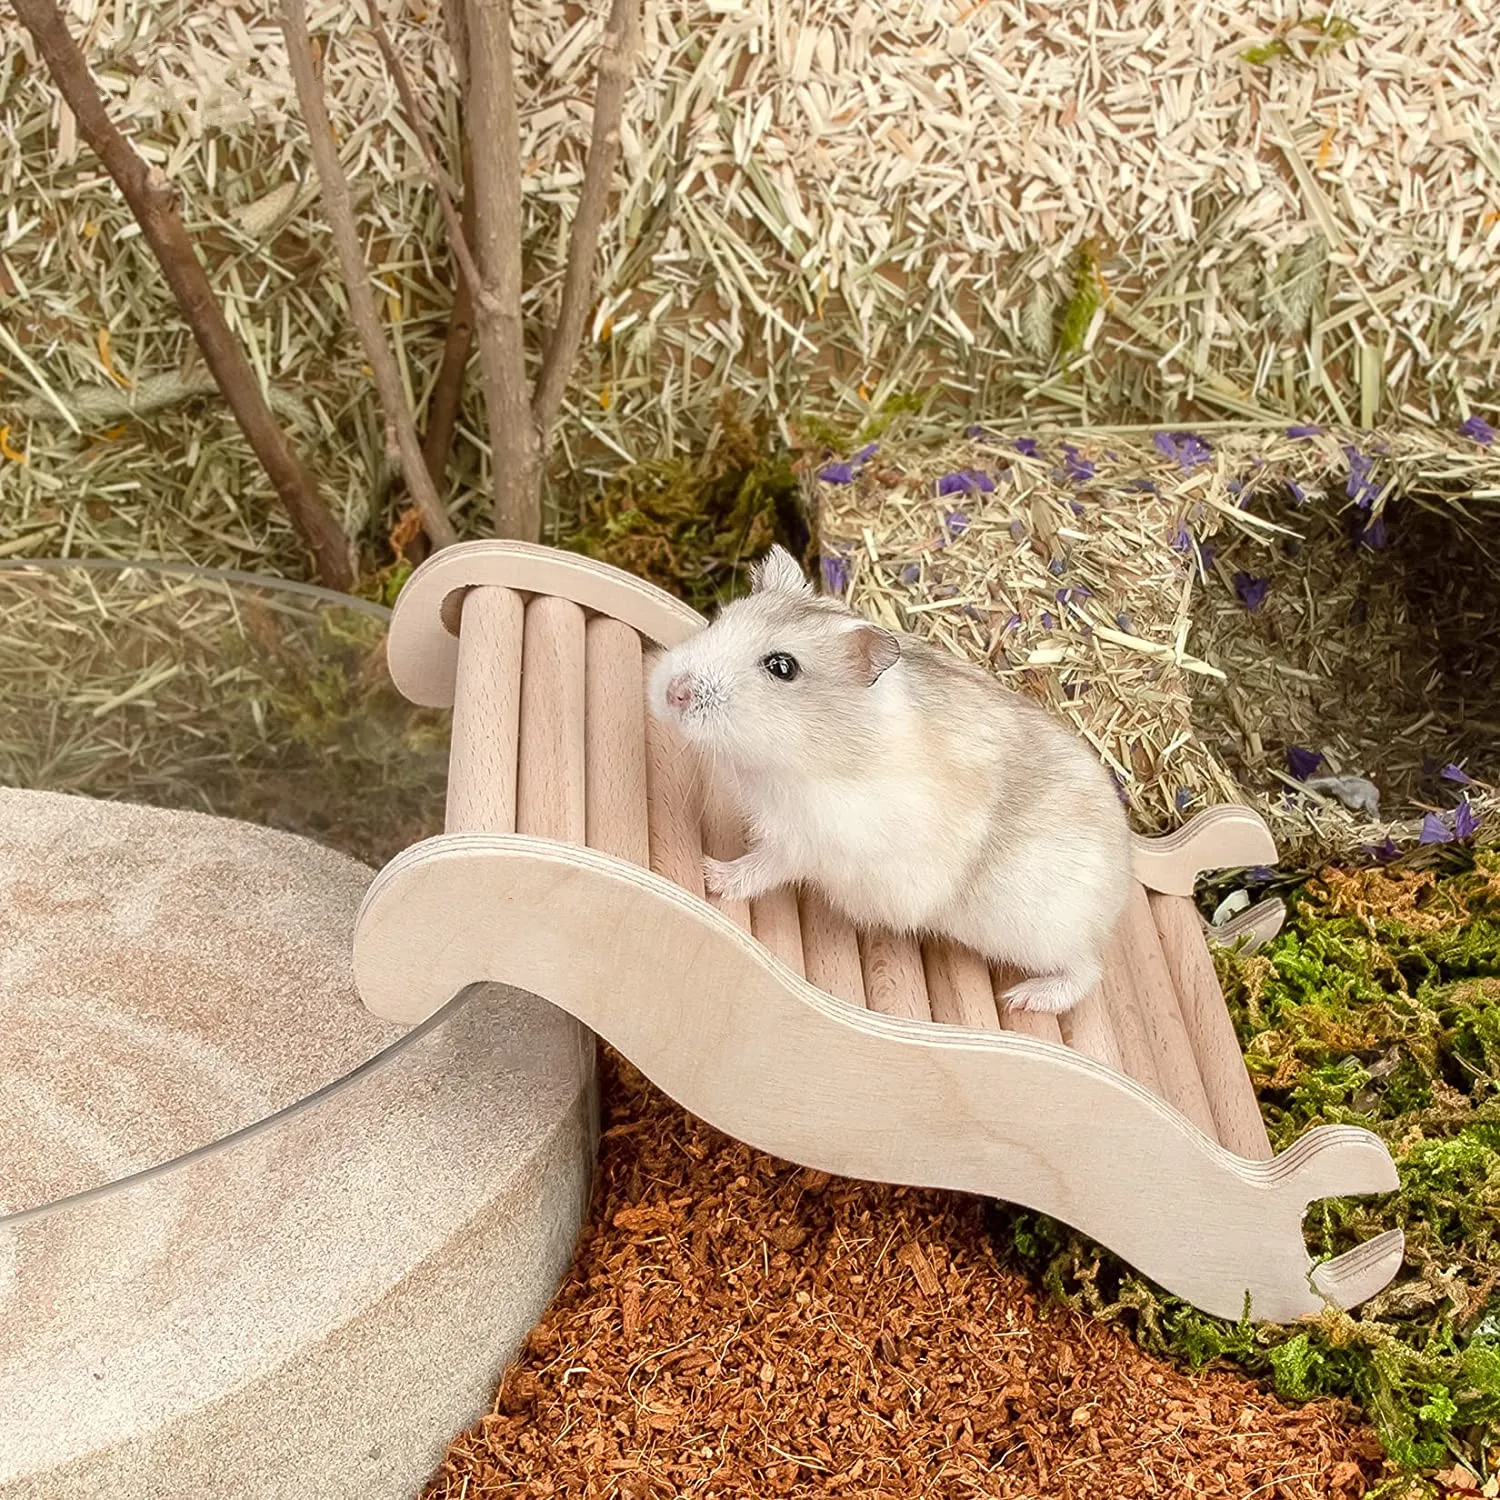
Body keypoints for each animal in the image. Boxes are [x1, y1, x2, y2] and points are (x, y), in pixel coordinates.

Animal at [646, 544, 1131, 1014]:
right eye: (718, 620)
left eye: (782, 667)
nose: (673, 692)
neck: (804, 750)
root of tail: (1117, 891)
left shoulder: (808, 840)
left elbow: (764, 867)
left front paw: (711, 874)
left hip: (1035, 931)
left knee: (1087, 972)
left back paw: (1023, 999)